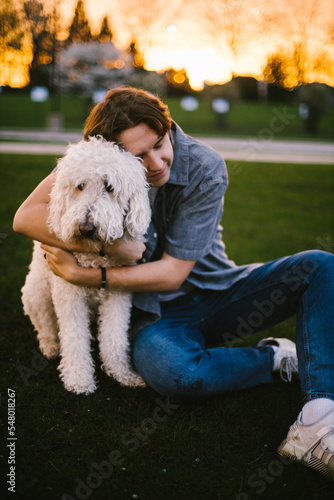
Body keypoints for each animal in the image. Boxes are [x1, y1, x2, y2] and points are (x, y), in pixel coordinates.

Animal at [21, 137, 151, 394]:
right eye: (79, 186)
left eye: (109, 187)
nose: (86, 227)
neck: (95, 257)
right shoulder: (69, 295)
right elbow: (74, 338)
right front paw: (79, 379)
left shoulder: (118, 295)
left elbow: (114, 338)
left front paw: (122, 373)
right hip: (36, 293)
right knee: (45, 325)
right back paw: (50, 346)